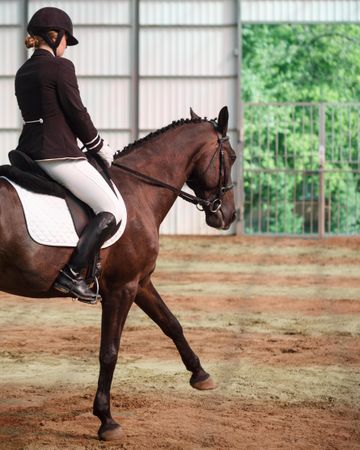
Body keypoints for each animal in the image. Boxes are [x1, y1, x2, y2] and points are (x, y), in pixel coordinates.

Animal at [0, 107, 236, 442]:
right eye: (232, 156)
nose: (228, 215)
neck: (139, 190)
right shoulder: (122, 288)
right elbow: (109, 351)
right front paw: (106, 420)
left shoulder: (141, 282)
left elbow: (171, 324)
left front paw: (200, 374)